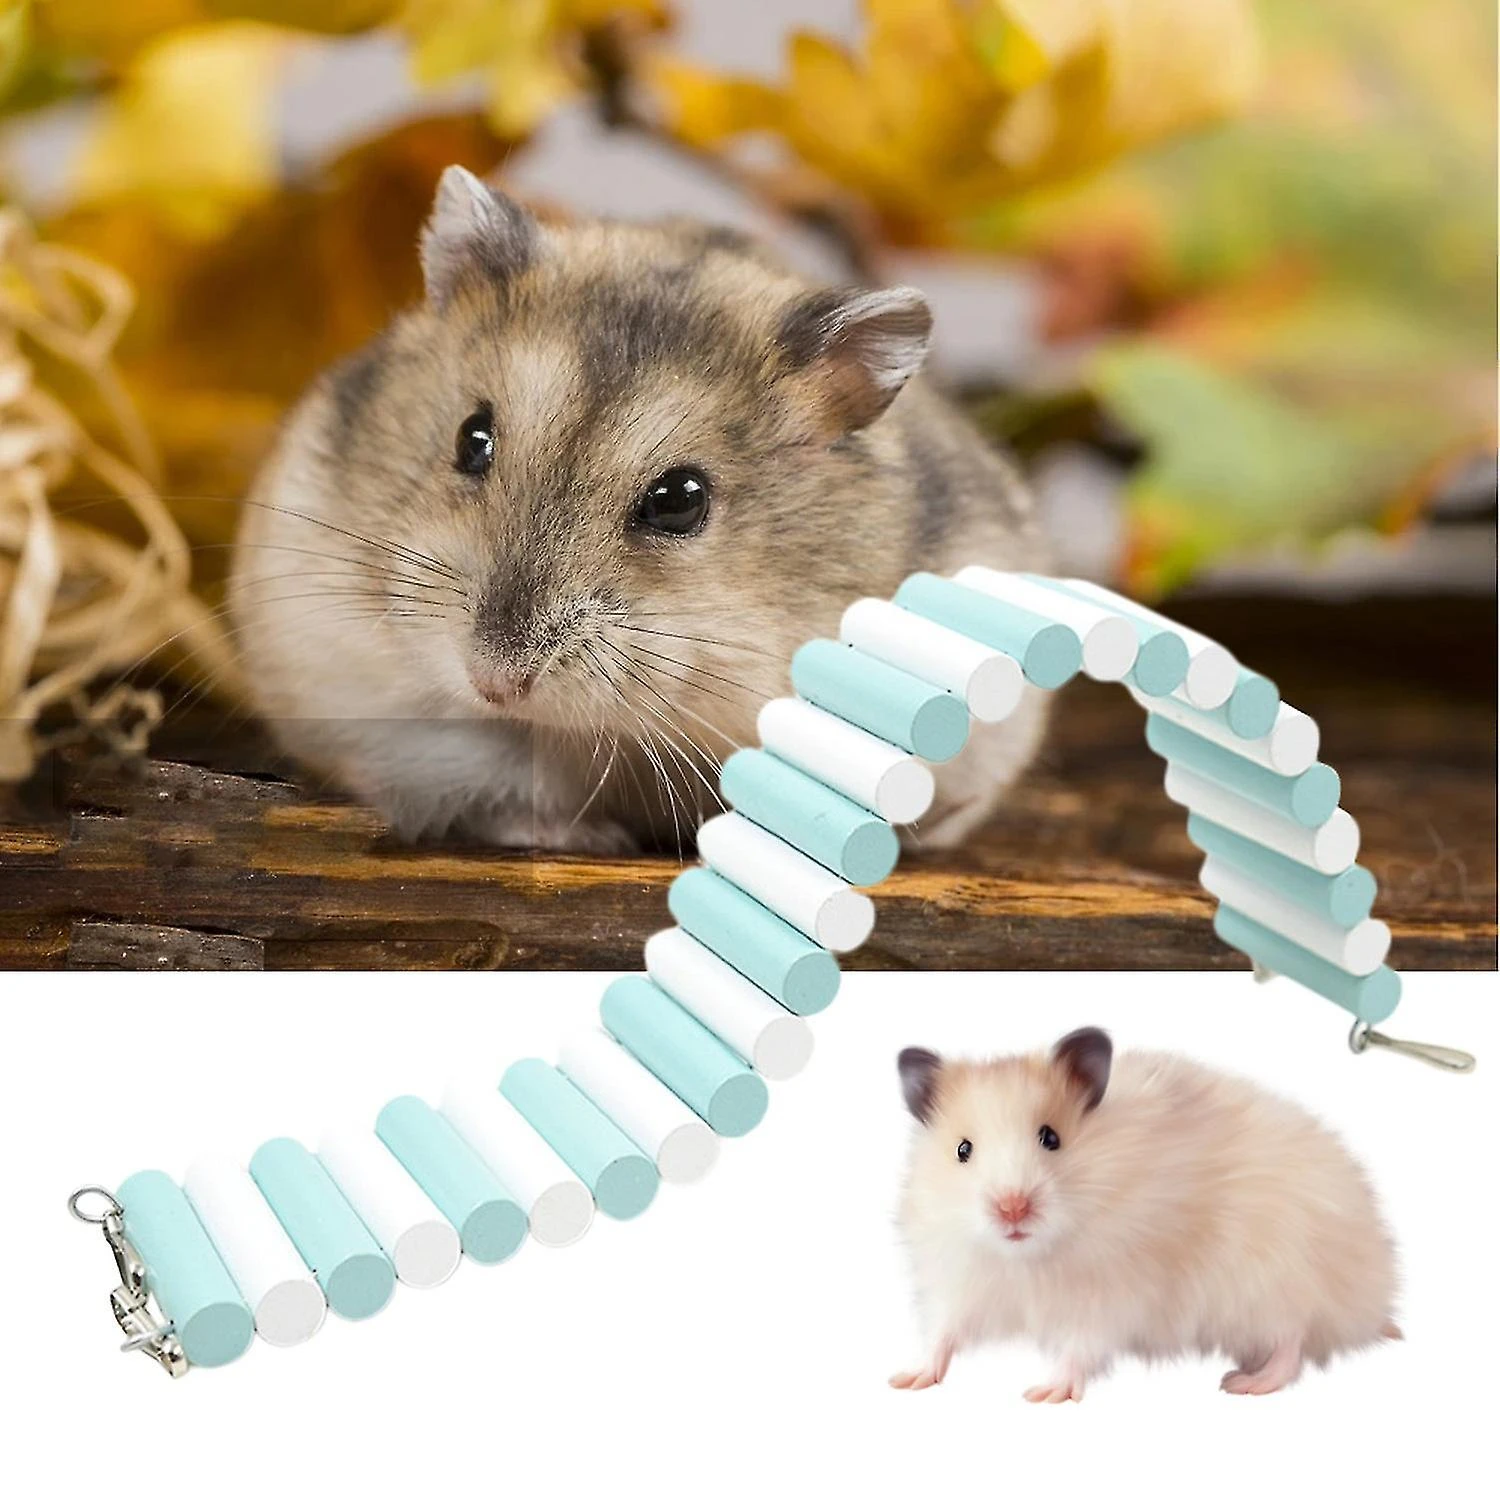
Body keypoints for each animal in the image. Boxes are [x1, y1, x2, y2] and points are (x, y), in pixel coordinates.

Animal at [890, 1028, 1401, 1400]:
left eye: (1051, 1138)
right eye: (963, 1150)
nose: (1011, 1208)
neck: (1029, 1257)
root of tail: (1372, 1299)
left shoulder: (1111, 1296)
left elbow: (1080, 1347)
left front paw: (1044, 1393)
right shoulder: (962, 1282)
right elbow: (942, 1334)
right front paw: (908, 1379)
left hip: (1274, 1281)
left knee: (1293, 1341)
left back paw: (1244, 1383)